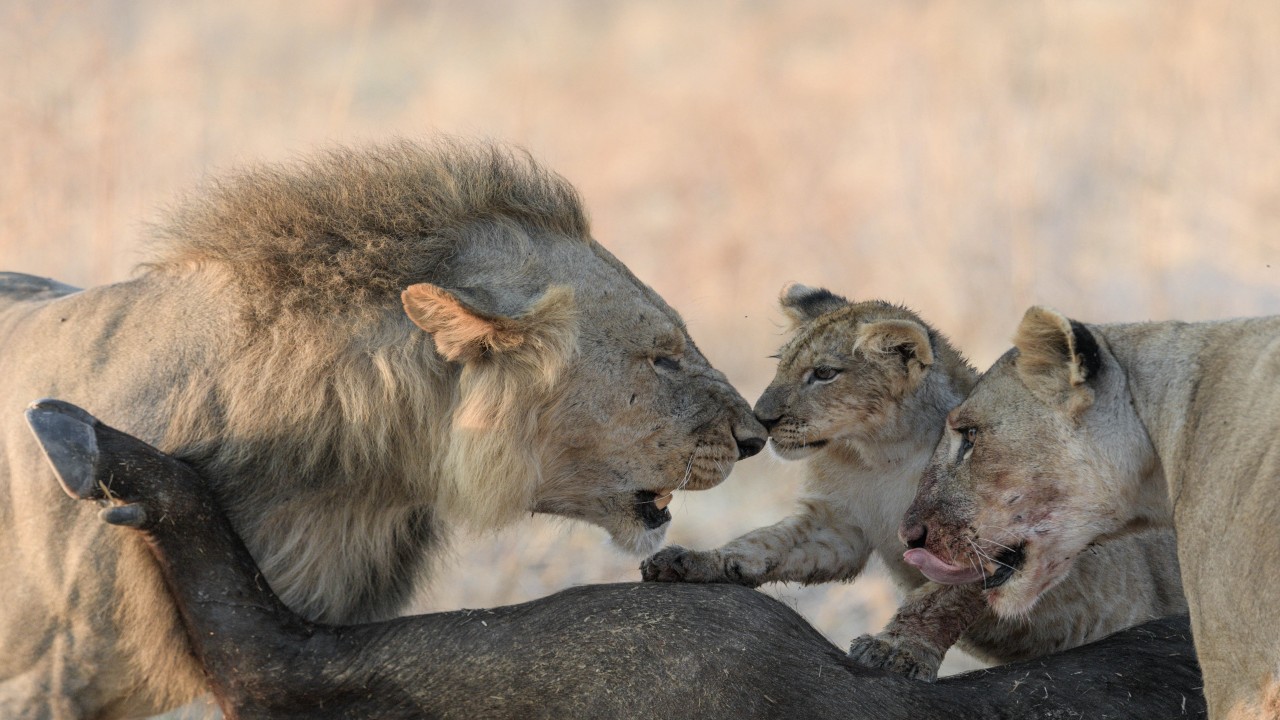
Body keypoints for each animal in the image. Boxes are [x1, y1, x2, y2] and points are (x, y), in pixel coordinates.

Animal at [642, 285, 1185, 680]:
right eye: (783, 364)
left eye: (825, 374)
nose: (764, 418)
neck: (880, 454)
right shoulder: (837, 526)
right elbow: (763, 543)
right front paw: (696, 560)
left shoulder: (996, 532)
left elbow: (937, 600)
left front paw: (896, 650)